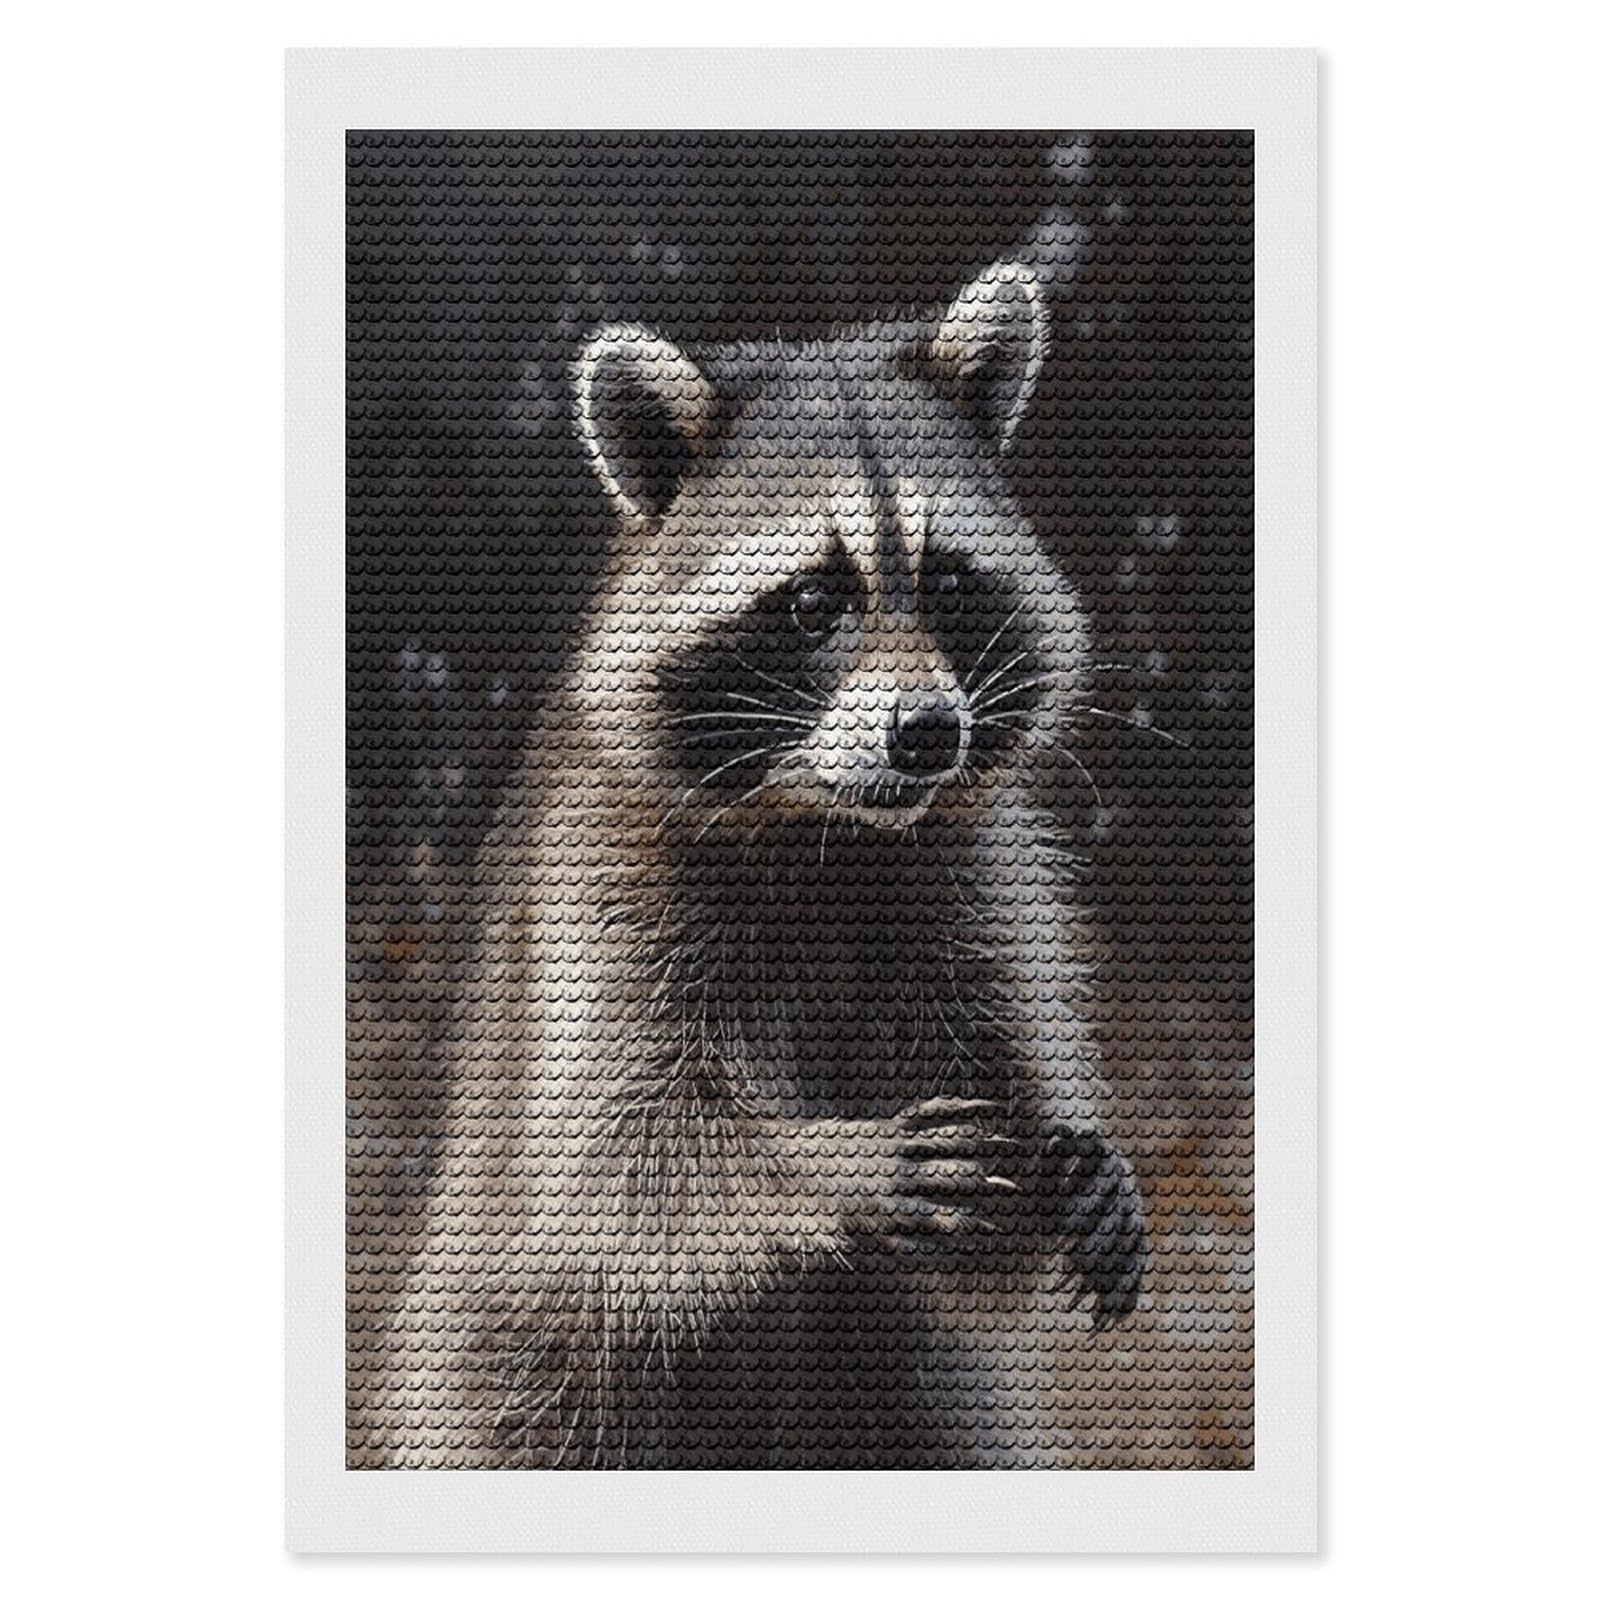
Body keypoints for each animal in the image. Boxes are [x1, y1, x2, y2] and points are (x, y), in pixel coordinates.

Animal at [379, 261, 1148, 1470]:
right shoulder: (601, 883)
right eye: (814, 601)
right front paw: (833, 1166)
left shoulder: (968, 879)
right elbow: (613, 1167)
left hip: (913, 1399)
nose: (928, 733)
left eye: (948, 583)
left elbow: (991, 1215)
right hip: (514, 1382)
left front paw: (1073, 1173)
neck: (827, 835)